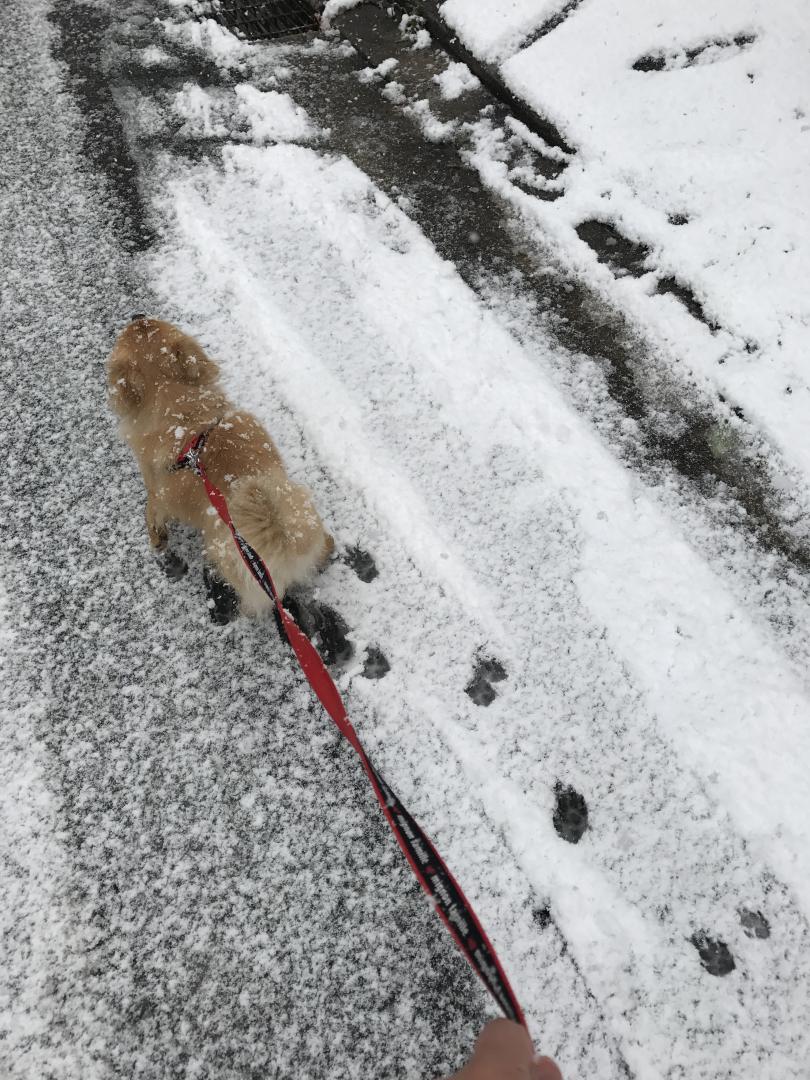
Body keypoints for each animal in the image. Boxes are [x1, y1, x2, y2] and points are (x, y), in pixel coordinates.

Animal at [108, 315, 332, 613]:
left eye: (128, 332)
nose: (137, 315)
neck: (180, 410)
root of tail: (284, 543)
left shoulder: (156, 487)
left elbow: (152, 509)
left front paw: (157, 538)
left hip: (224, 554)